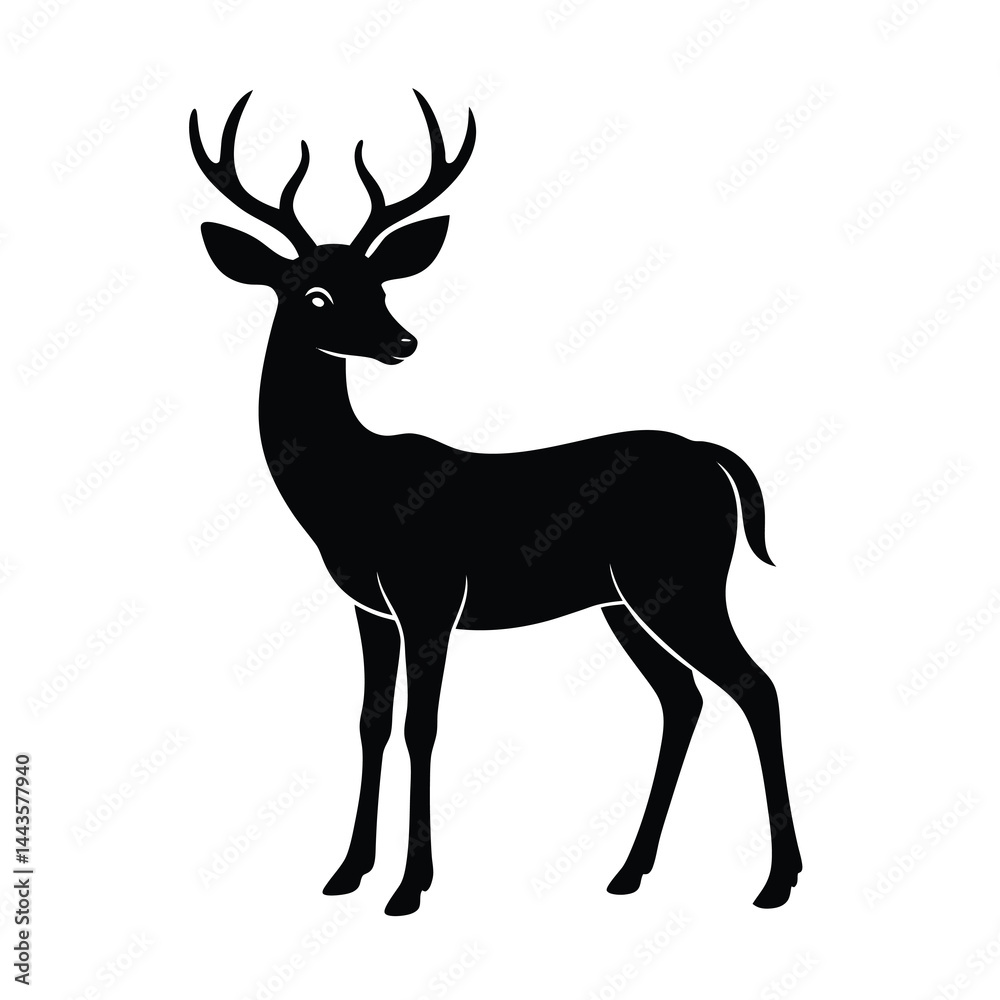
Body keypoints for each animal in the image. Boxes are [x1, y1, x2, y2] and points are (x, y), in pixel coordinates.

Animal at [190, 90, 802, 916]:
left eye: (381, 285)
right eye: (314, 293)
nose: (403, 341)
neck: (350, 490)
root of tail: (713, 458)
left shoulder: (430, 594)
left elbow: (421, 727)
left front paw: (410, 886)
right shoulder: (369, 606)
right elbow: (370, 722)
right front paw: (346, 872)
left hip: (681, 582)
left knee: (755, 686)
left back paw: (776, 881)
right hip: (623, 601)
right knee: (684, 699)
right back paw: (629, 872)